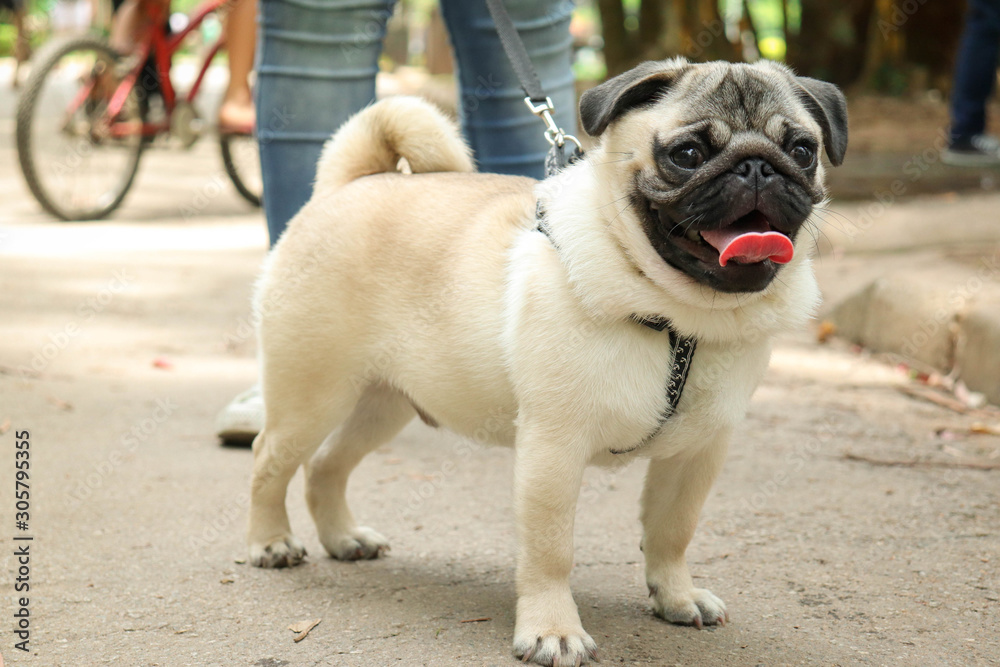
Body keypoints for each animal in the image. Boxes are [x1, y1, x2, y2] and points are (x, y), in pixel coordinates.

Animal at [246, 58, 848, 667]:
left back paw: (343, 538)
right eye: (687, 154)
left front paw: (676, 596)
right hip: (312, 393)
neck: (680, 317)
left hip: (383, 403)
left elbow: (673, 530)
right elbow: (551, 550)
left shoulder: (698, 451)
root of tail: (352, 184)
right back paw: (270, 542)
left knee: (326, 466)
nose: (758, 167)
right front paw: (552, 630)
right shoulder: (554, 450)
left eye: (801, 150)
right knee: (270, 458)